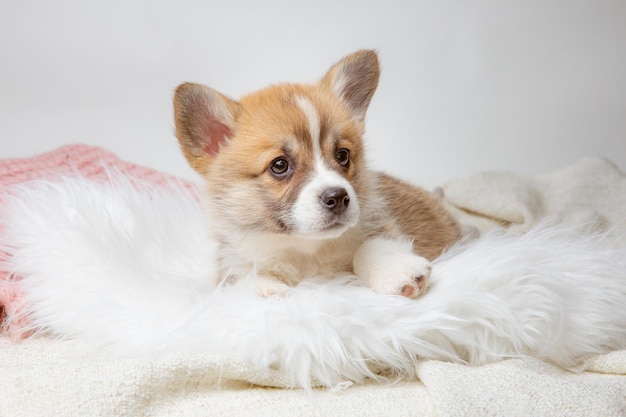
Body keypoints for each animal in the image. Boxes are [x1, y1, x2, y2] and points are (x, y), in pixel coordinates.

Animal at [173, 50, 460, 298]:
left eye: (342, 155)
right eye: (280, 165)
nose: (338, 197)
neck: (305, 252)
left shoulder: (378, 224)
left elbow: (370, 246)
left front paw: (396, 271)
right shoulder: (231, 265)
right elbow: (244, 277)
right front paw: (269, 288)